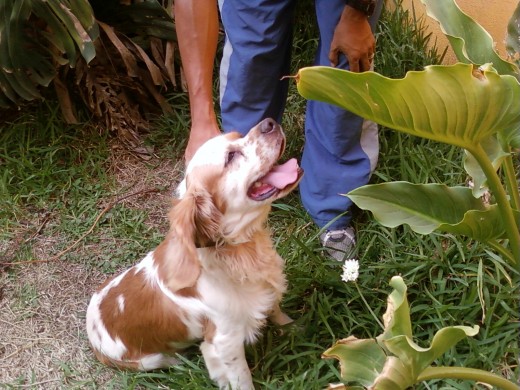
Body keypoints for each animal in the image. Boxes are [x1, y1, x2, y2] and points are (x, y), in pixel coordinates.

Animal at [86, 119, 302, 390]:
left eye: (238, 136)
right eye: (231, 156)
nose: (269, 122)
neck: (237, 251)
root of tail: (91, 333)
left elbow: (278, 312)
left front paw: (295, 329)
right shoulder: (224, 341)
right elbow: (242, 379)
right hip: (151, 360)